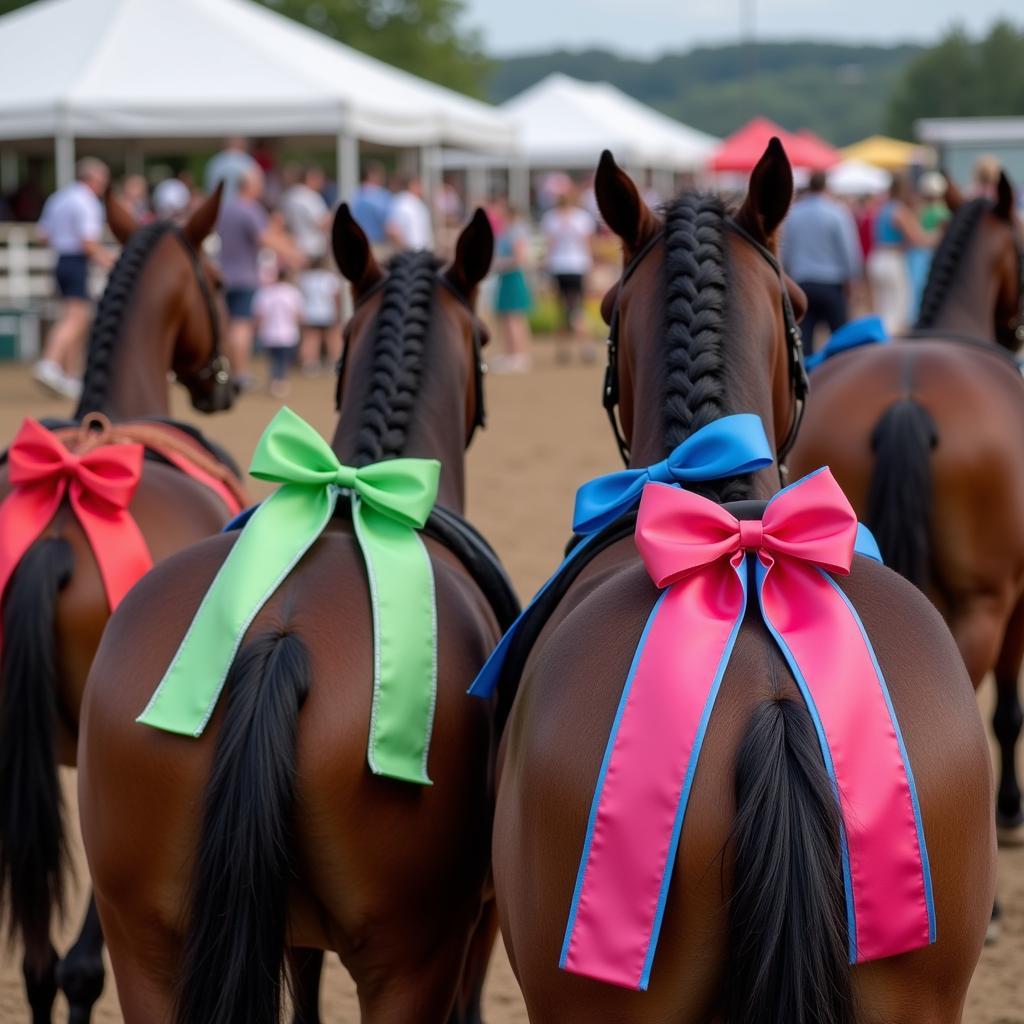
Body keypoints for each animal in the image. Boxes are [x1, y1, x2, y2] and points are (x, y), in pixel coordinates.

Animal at [76, 203, 512, 1019]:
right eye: (485, 338)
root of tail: (280, 637)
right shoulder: (477, 926)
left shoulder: (291, 935)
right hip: (410, 964)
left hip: (143, 944)